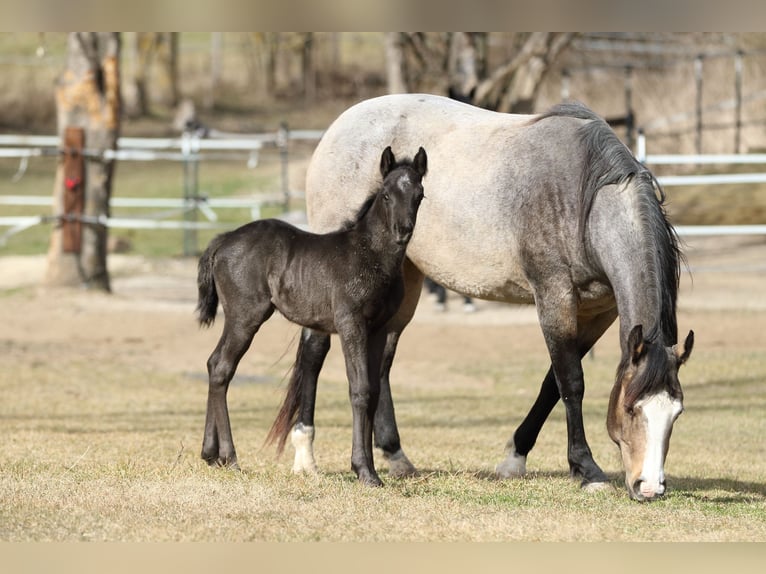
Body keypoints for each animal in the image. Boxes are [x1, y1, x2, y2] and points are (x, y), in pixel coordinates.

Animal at [198, 147, 428, 486]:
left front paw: (370, 469)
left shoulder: (378, 329)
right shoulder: (350, 325)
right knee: (221, 366)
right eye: (386, 194)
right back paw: (229, 456)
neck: (370, 255)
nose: (403, 231)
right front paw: (364, 470)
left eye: (419, 195)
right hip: (244, 315)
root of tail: (223, 240)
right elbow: (359, 389)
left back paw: (211, 454)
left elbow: (372, 391)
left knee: (215, 363)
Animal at [270, 92, 696, 502]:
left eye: (676, 414)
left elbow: (551, 383)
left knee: (382, 363)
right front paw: (586, 470)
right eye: (631, 408)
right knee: (314, 351)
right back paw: (305, 456)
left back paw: (395, 456)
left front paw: (515, 457)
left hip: (404, 282)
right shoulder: (554, 296)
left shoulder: (598, 312)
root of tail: (337, 128)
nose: (649, 487)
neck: (582, 197)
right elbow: (571, 382)